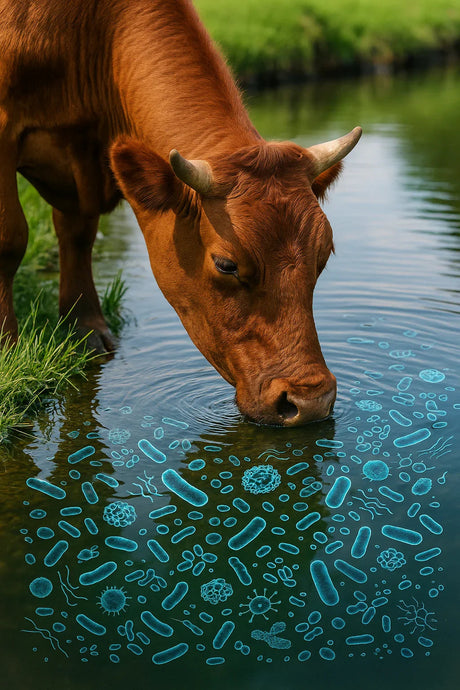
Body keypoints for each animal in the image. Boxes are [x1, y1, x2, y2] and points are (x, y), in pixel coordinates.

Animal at [0, 0, 361, 426]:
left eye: (323, 257)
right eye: (226, 265)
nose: (310, 401)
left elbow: (78, 234)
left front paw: (85, 331)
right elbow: (11, 239)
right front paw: (7, 348)